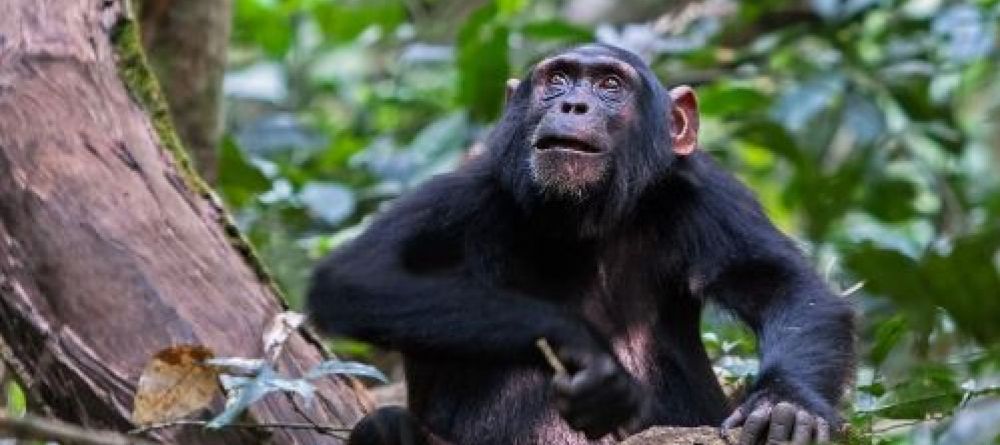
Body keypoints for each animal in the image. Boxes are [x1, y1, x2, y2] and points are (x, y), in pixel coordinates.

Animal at [308, 44, 856, 444]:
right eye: (557, 80)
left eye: (610, 85)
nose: (573, 103)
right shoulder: (466, 192)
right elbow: (358, 280)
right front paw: (589, 354)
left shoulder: (708, 193)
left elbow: (785, 286)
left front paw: (786, 403)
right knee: (385, 426)